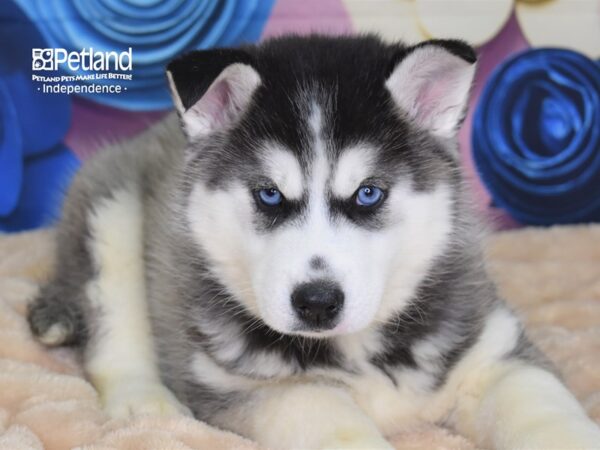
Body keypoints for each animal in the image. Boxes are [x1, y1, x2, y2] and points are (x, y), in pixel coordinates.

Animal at [27, 36, 600, 450]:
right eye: (269, 194)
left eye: (369, 193)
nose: (317, 303)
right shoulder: (253, 388)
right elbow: (335, 423)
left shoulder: (494, 356)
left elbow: (547, 413)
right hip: (112, 209)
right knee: (114, 325)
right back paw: (146, 405)